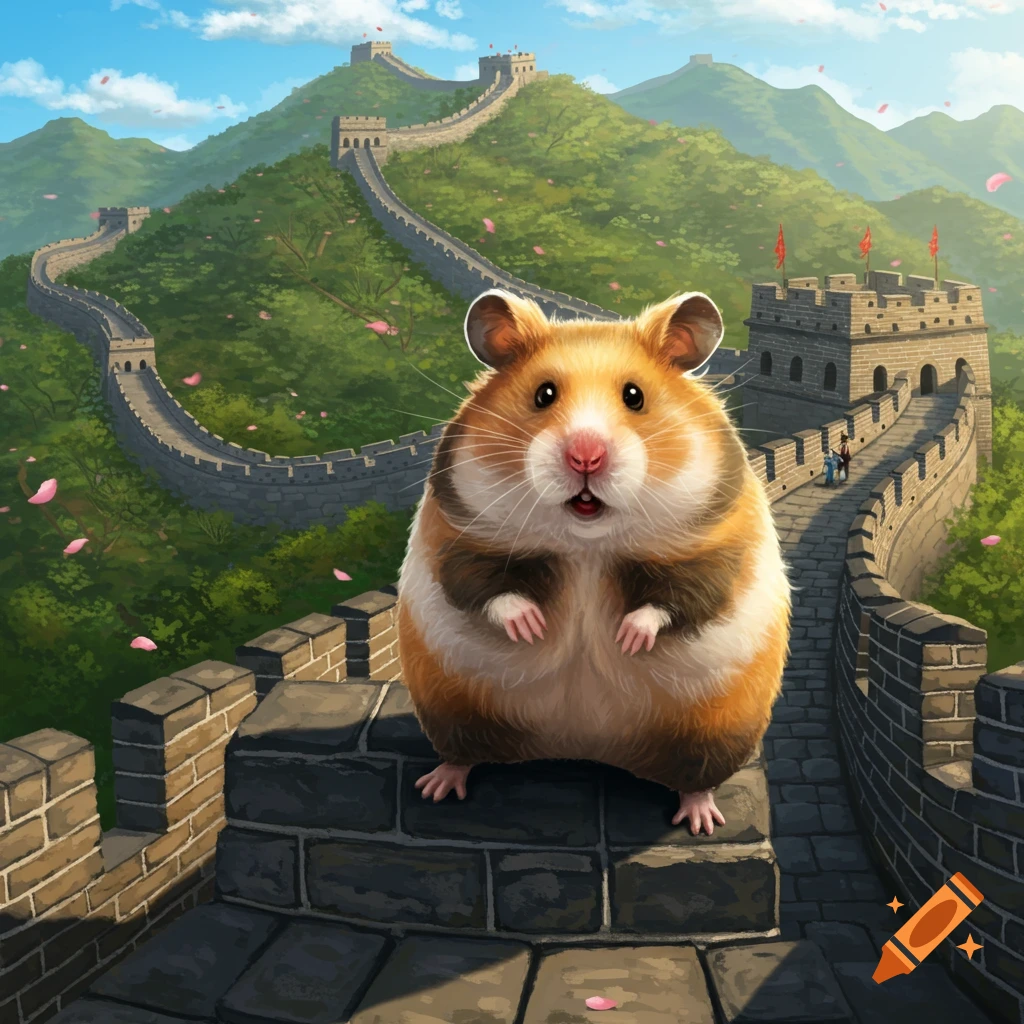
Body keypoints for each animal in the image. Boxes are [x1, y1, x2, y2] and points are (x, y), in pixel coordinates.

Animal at [397, 287, 791, 835]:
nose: (586, 456)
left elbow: (685, 594)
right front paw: (531, 627)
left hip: (714, 731)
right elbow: (481, 584)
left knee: (696, 776)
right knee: (462, 751)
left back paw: (701, 818)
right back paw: (437, 786)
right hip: (450, 708)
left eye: (635, 396)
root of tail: (581, 746)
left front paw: (629, 638)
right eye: (543, 394)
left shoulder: (720, 540)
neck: (587, 544)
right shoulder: (456, 534)